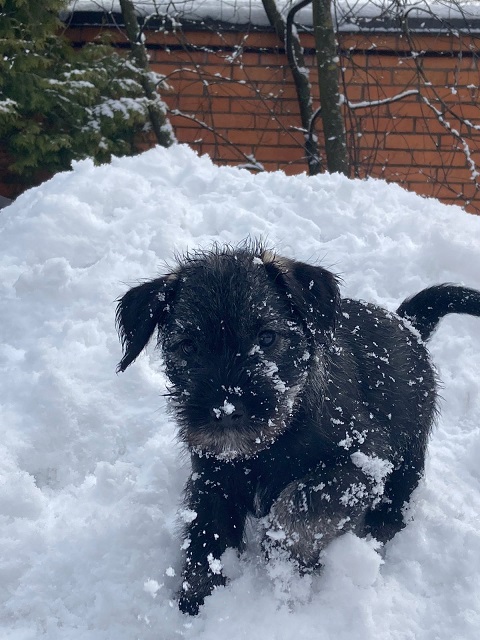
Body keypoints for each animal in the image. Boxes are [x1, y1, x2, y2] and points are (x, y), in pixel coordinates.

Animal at [116, 242, 480, 615]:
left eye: (267, 337)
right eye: (187, 345)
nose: (226, 411)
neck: (271, 442)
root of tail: (409, 324)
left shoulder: (362, 463)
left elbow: (301, 502)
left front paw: (281, 557)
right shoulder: (212, 479)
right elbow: (206, 533)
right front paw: (199, 597)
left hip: (407, 456)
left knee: (396, 505)